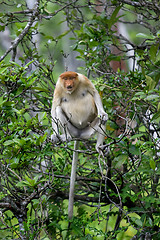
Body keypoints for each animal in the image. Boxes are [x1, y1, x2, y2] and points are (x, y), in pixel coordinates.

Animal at [51, 71, 109, 219]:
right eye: (65, 79)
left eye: (72, 78)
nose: (69, 84)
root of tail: (79, 134)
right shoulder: (58, 88)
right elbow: (54, 108)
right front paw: (54, 135)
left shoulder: (83, 80)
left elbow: (94, 92)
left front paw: (103, 113)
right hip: (73, 129)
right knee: (59, 109)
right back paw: (65, 137)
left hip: (89, 129)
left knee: (101, 120)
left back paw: (99, 147)